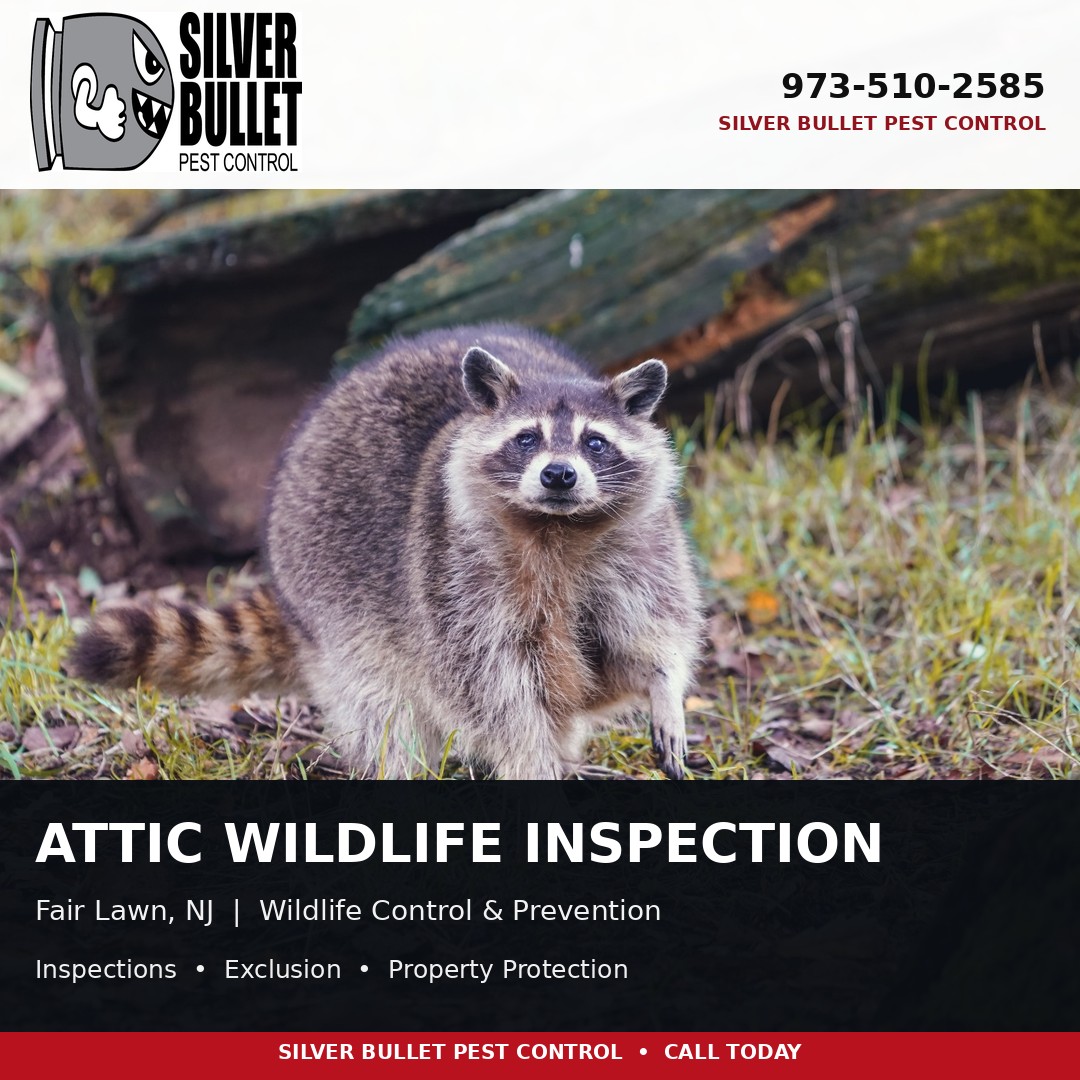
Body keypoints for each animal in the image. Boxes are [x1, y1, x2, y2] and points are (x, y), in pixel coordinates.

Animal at [70, 325, 703, 779]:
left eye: (595, 442)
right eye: (527, 438)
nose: (559, 476)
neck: (558, 529)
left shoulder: (643, 548)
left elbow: (648, 637)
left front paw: (663, 688)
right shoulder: (452, 577)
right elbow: (492, 688)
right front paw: (529, 758)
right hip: (331, 603)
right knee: (383, 707)